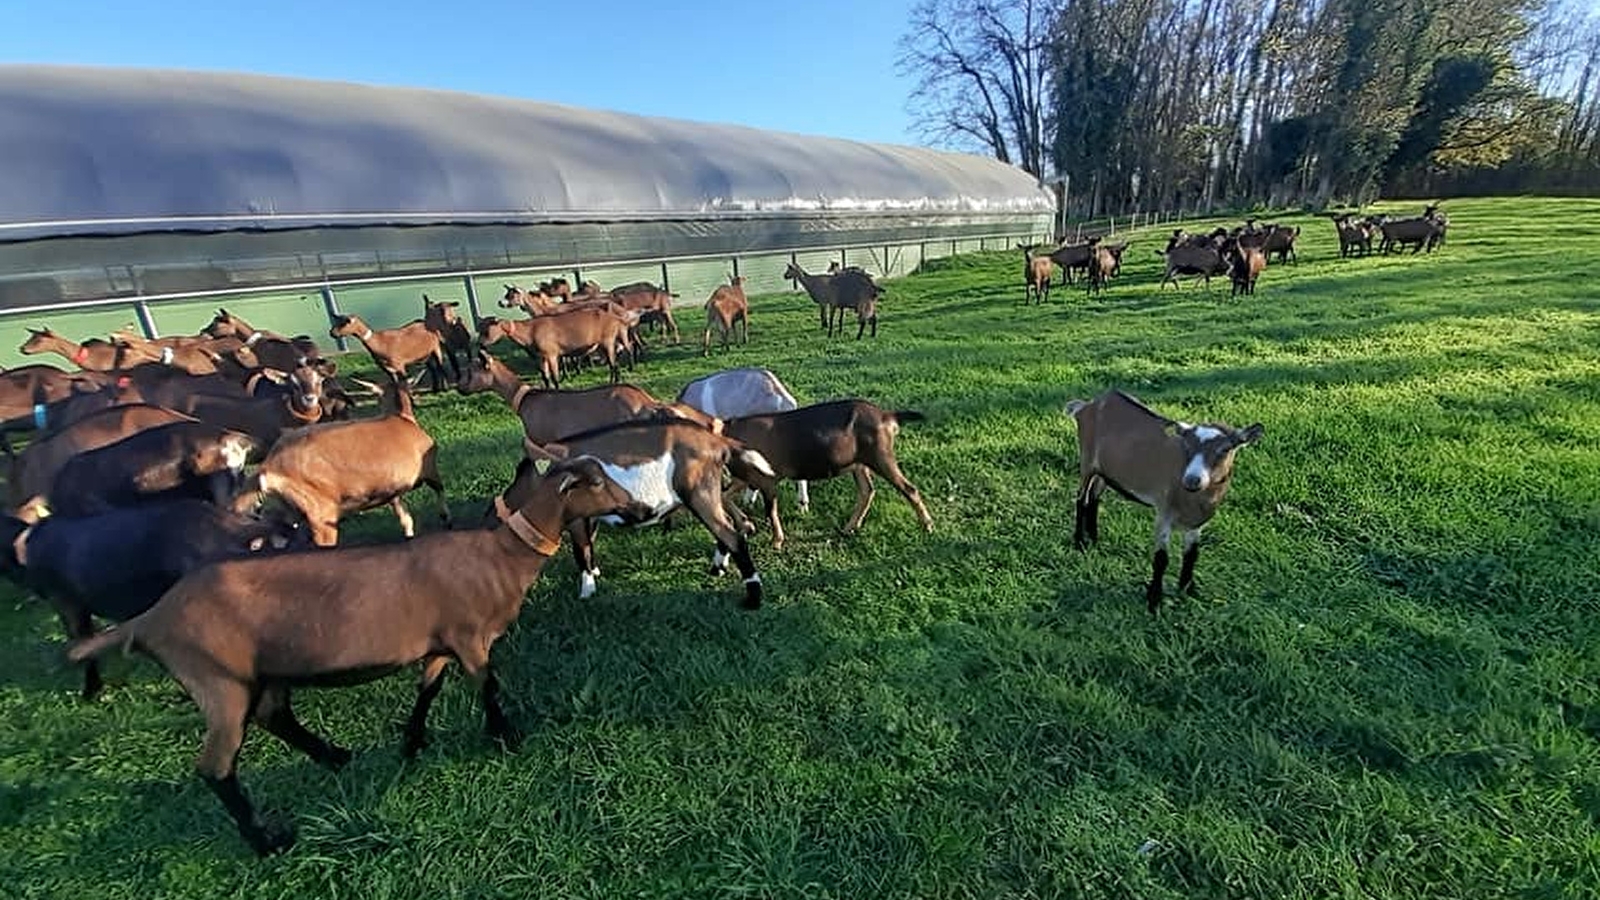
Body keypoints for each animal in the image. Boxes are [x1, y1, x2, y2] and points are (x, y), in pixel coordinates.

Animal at [66, 455, 651, 856]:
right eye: (597, 483)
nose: (642, 508)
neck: (498, 557)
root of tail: (150, 619)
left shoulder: (441, 643)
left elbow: (427, 689)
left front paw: (412, 743)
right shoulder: (470, 639)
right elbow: (488, 687)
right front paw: (506, 737)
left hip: (260, 674)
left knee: (276, 716)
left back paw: (336, 758)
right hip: (218, 681)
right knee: (216, 766)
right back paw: (268, 841)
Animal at [233, 380, 449, 546]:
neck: (401, 419)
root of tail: (268, 467)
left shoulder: (391, 489)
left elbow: (405, 518)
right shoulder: (429, 470)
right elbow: (439, 491)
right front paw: (446, 519)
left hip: (287, 512)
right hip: (321, 512)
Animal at [719, 400, 933, 549]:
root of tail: (888, 416)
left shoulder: (766, 479)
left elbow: (771, 512)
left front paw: (776, 541)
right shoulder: (744, 478)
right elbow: (724, 496)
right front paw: (745, 524)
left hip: (880, 456)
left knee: (909, 489)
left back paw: (927, 526)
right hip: (859, 463)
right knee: (867, 491)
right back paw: (849, 528)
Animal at [1064, 389, 1262, 613]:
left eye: (1225, 449)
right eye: (1186, 445)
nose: (1192, 480)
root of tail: (1087, 405)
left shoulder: (1196, 524)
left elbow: (1191, 554)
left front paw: (1188, 590)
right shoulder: (1164, 513)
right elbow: (1161, 559)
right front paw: (1154, 602)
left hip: (1105, 472)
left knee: (1094, 498)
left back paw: (1094, 540)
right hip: (1087, 461)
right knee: (1081, 498)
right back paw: (1080, 543)